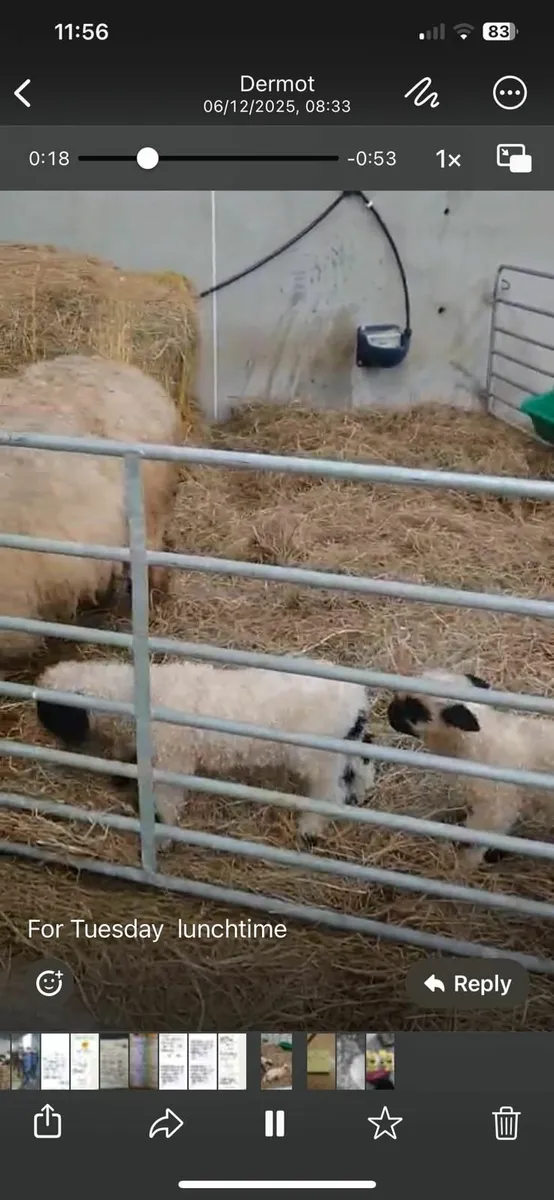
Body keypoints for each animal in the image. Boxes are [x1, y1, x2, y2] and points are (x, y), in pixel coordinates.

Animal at [34, 657, 376, 849]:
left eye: (50, 711)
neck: (134, 699)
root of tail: (356, 699)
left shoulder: (172, 762)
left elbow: (166, 803)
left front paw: (162, 837)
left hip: (318, 759)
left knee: (329, 795)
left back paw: (309, 831)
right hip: (344, 748)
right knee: (361, 765)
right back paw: (357, 796)